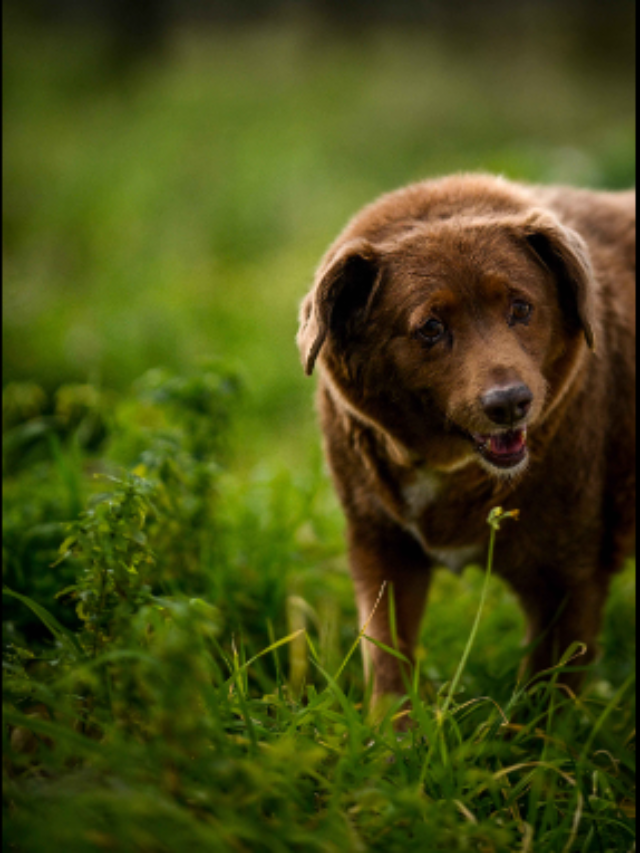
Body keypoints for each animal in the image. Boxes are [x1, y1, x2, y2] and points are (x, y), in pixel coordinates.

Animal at [298, 175, 636, 704]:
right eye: (431, 328)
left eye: (521, 308)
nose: (510, 403)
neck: (448, 468)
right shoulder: (381, 547)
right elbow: (387, 661)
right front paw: (392, 725)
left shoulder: (572, 575)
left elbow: (545, 698)